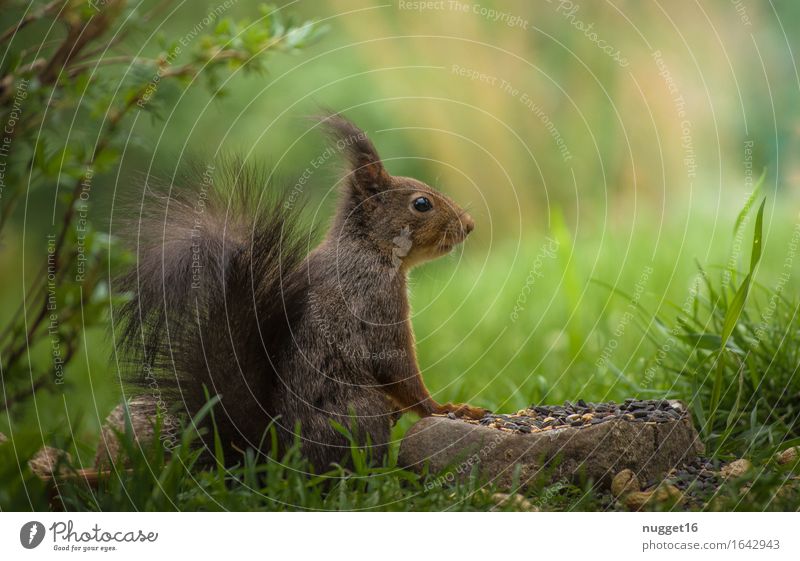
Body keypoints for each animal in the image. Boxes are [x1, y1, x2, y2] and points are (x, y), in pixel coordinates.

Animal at [112, 112, 488, 468]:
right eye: (421, 204)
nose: (469, 225)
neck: (368, 247)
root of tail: (272, 455)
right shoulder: (375, 299)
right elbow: (396, 366)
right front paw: (444, 408)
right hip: (358, 410)